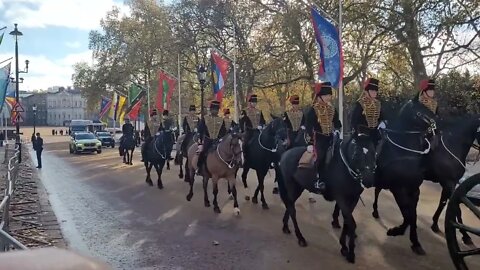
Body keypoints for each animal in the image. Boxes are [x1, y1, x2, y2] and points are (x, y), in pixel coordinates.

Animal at [280, 131, 376, 264]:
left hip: (298, 188)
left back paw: (285, 226)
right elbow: (351, 223)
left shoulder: (353, 199)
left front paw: (344, 246)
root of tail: (285, 154)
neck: (345, 168)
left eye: (374, 153)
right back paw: (300, 238)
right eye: (356, 153)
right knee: (292, 210)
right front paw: (350, 253)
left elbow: (347, 221)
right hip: (292, 187)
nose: (368, 180)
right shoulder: (341, 199)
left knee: (289, 205)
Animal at [370, 114, 478, 245]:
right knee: (378, 189)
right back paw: (375, 211)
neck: (452, 143)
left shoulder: (450, 183)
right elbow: (456, 208)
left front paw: (435, 224)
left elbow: (443, 203)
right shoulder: (449, 182)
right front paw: (465, 235)